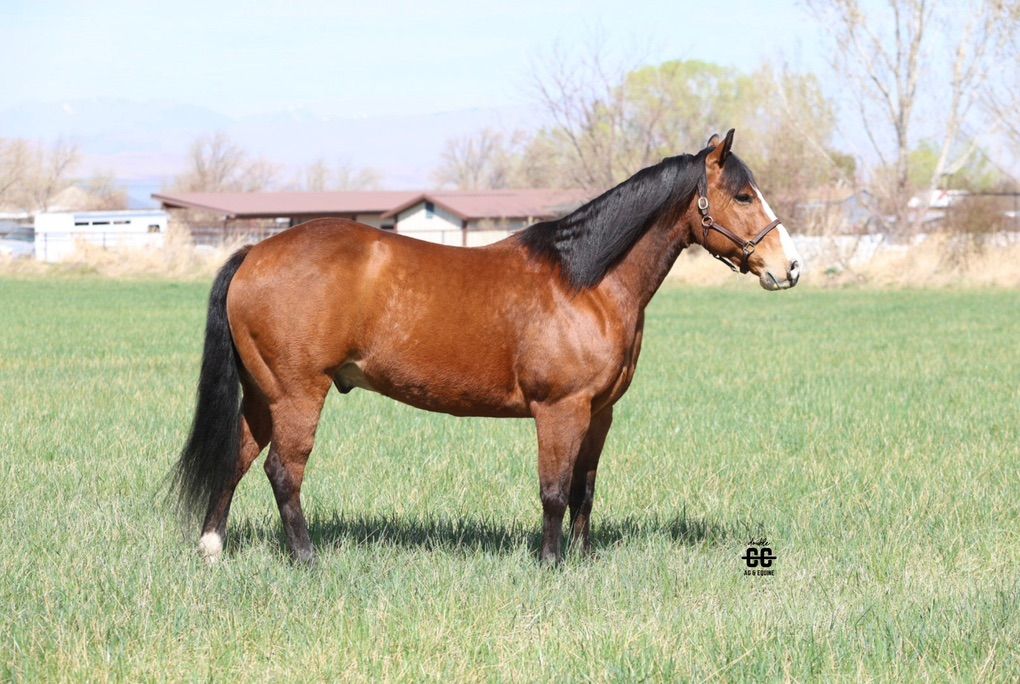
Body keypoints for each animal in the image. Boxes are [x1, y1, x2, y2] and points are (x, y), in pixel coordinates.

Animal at [171, 129, 802, 565]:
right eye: (743, 195)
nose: (790, 267)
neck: (584, 280)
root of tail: (255, 251)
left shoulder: (599, 413)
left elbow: (585, 489)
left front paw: (585, 559)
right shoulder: (559, 410)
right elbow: (554, 490)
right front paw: (551, 565)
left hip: (263, 395)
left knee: (237, 460)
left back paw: (212, 549)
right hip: (298, 392)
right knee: (284, 471)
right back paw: (306, 558)